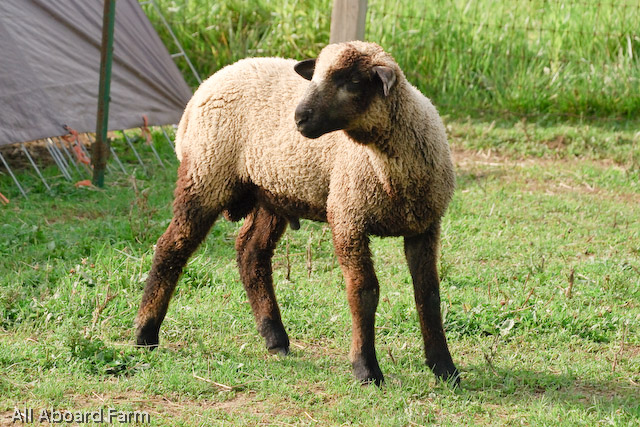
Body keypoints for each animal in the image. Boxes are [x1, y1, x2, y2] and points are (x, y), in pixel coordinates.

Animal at [135, 41, 458, 386]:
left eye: (353, 81)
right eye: (314, 76)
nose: (299, 118)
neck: (390, 171)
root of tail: (204, 87)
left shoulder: (424, 226)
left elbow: (429, 295)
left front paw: (444, 368)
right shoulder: (348, 217)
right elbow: (364, 292)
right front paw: (366, 369)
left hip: (271, 193)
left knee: (251, 254)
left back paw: (275, 337)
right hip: (205, 175)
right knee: (172, 246)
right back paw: (145, 334)